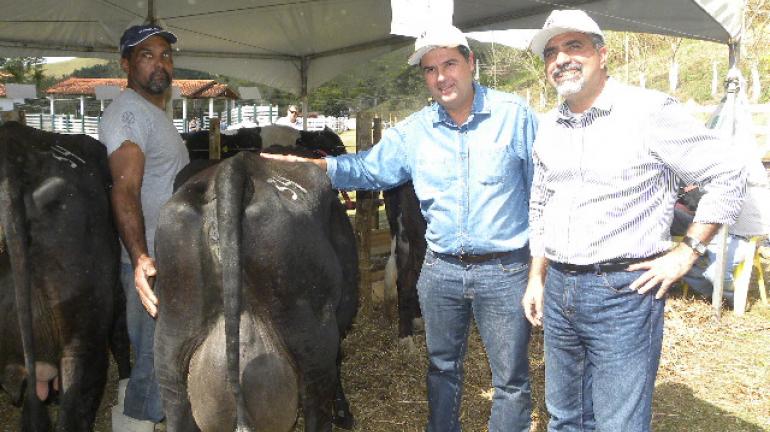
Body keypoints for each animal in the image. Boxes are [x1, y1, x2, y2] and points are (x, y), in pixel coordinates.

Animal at [157, 144, 360, 428]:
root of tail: (234, 167)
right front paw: (343, 412)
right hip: (312, 334)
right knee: (316, 396)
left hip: (172, 330)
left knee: (174, 399)